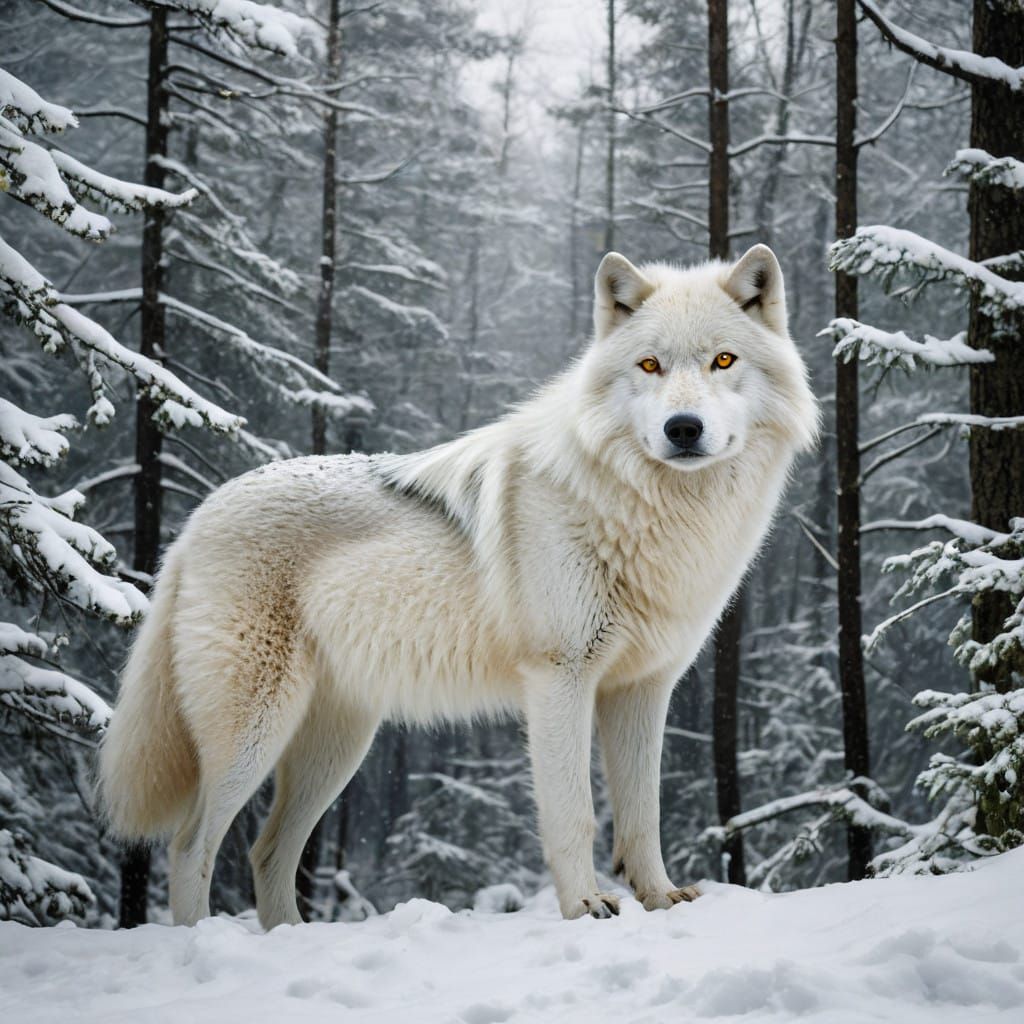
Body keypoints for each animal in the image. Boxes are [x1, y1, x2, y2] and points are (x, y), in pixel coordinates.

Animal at [99, 245, 818, 927]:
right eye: (649, 366)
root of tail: (197, 520)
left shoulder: (642, 688)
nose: (684, 428)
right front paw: (586, 907)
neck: (649, 512)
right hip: (254, 731)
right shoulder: (560, 677)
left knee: (267, 850)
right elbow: (575, 814)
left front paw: (662, 898)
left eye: (723, 360)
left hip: (338, 746)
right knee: (191, 844)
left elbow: (643, 816)